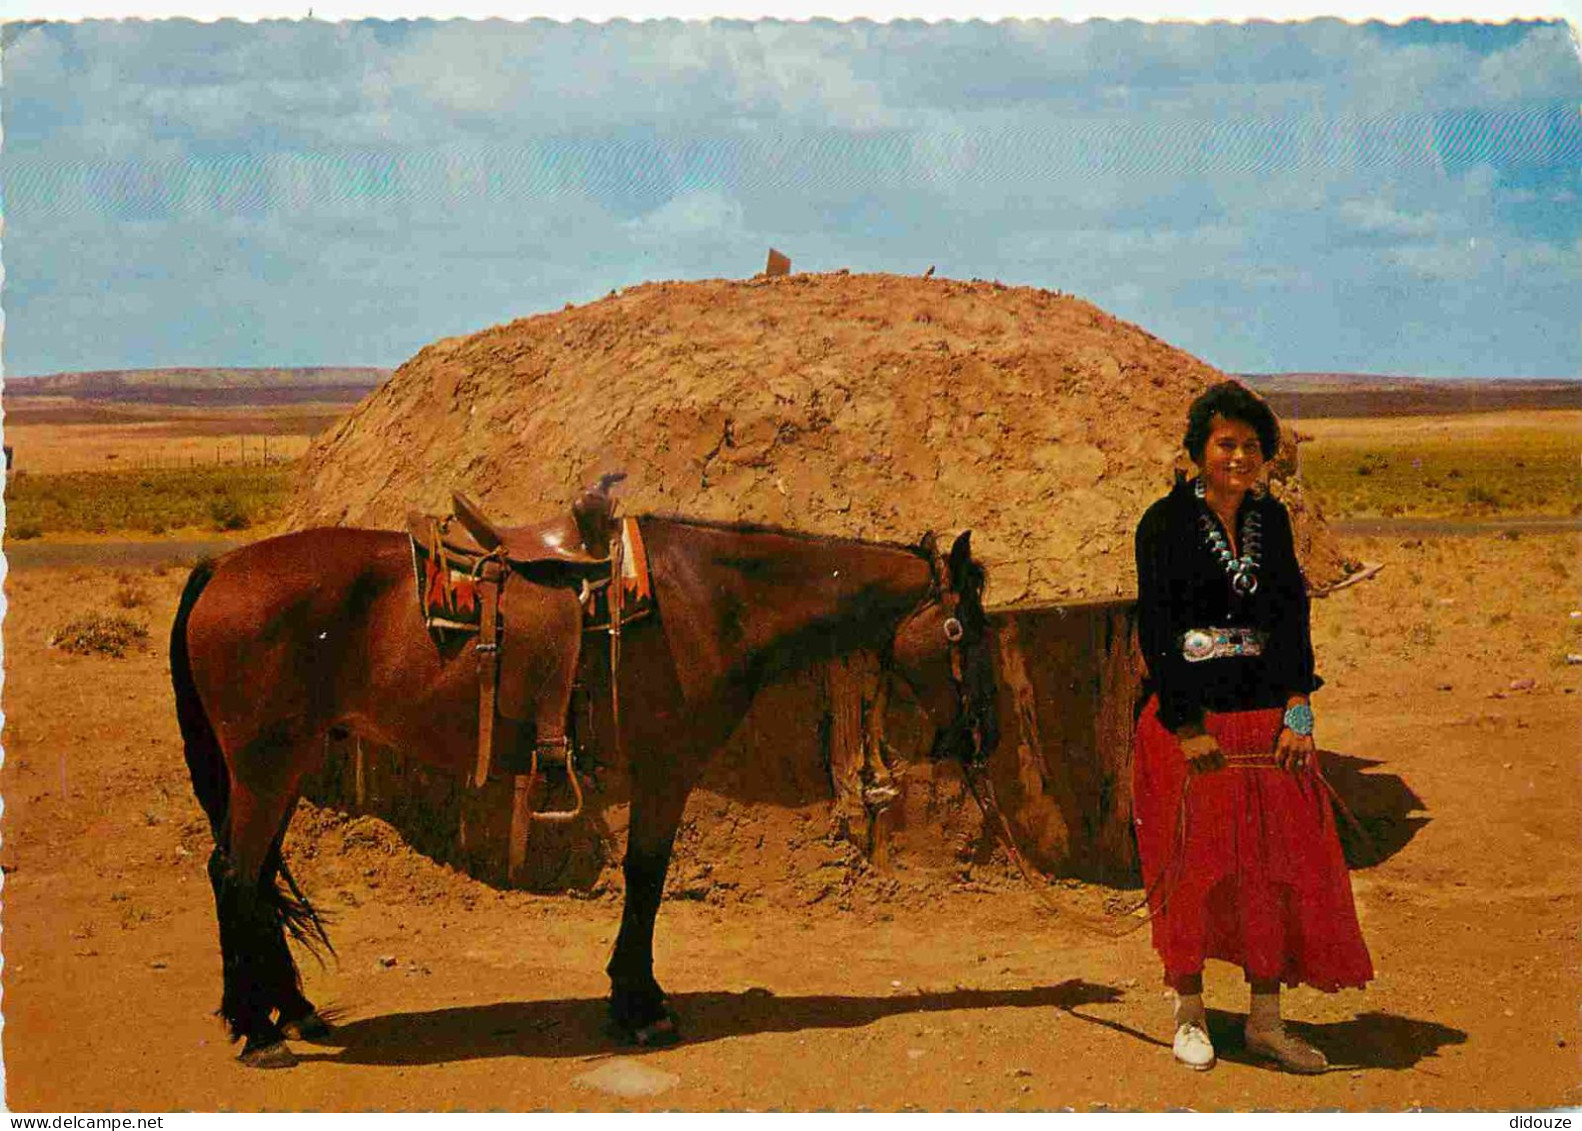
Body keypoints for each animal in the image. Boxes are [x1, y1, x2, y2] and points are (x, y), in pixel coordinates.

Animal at [170, 512, 999, 1069]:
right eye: (964, 630)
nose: (982, 733)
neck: (712, 599)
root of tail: (220, 567)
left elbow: (644, 881)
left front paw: (631, 997)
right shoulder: (666, 769)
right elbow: (646, 880)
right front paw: (639, 1005)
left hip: (288, 763)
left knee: (252, 874)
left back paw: (294, 1010)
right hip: (266, 763)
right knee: (236, 873)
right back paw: (258, 1029)